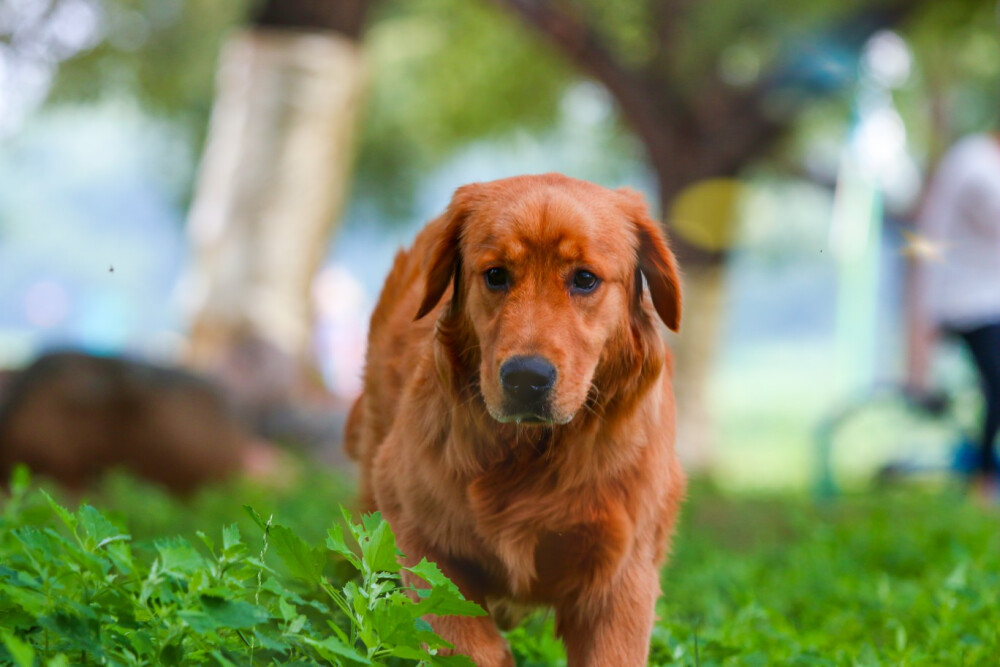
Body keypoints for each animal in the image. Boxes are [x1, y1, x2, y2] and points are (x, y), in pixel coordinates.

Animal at [348, 175, 684, 664]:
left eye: (585, 279)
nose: (527, 378)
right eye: (495, 275)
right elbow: (466, 640)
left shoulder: (623, 575)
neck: (531, 452)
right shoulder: (417, 532)